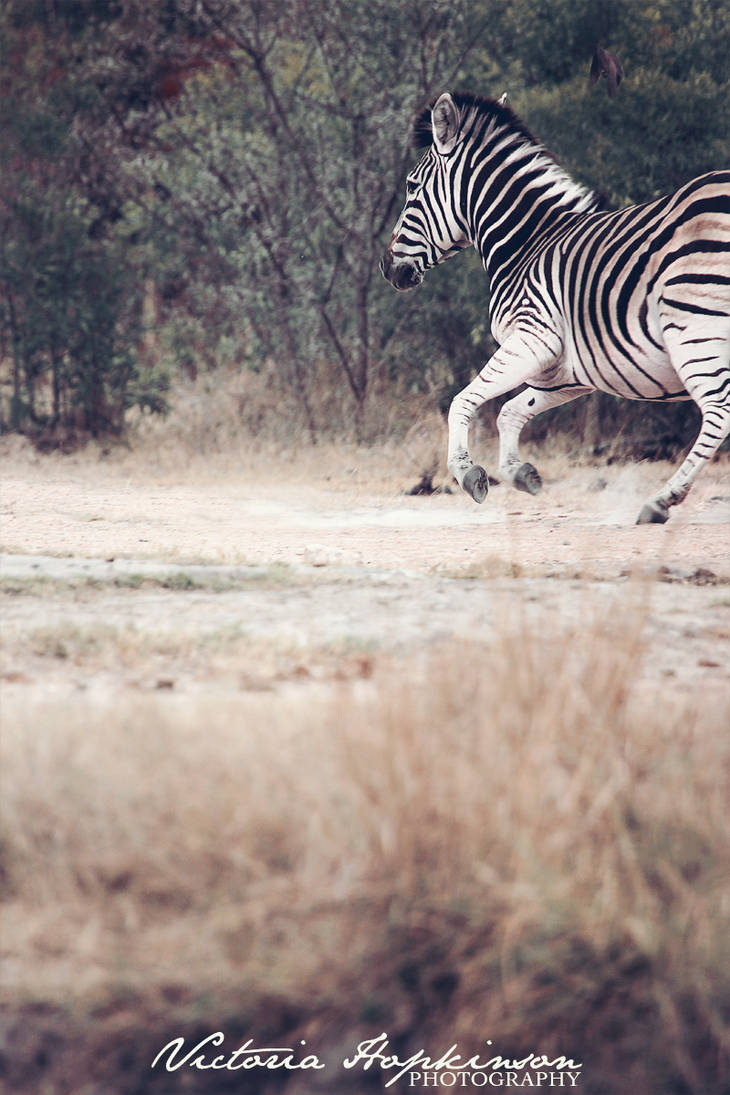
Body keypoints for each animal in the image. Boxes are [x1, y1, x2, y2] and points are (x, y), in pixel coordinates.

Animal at [380, 92, 730, 524]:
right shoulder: (568, 369)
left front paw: (467, 473)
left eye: (412, 187)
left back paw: (662, 499)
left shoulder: (533, 338)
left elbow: (463, 401)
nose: (387, 268)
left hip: (693, 329)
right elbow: (511, 411)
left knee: (718, 411)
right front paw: (520, 473)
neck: (527, 244)